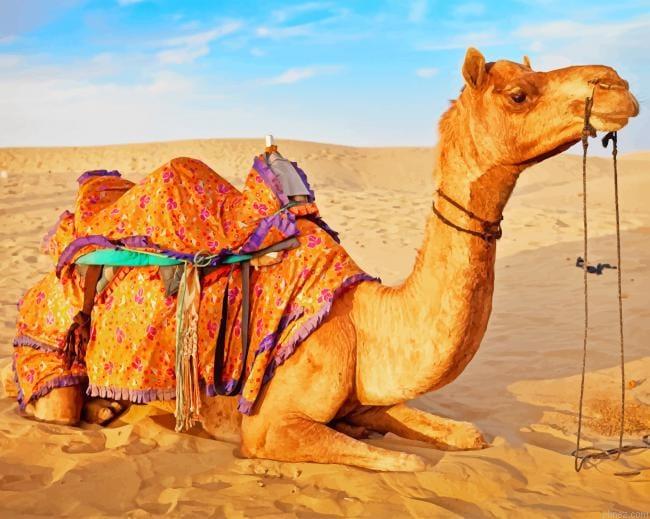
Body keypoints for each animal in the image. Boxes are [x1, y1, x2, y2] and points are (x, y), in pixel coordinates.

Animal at [2, 48, 639, 471]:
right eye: (518, 94)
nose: (617, 83)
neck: (365, 323)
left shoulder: (365, 398)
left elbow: (465, 436)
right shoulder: (269, 427)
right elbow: (408, 462)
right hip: (52, 359)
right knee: (55, 405)